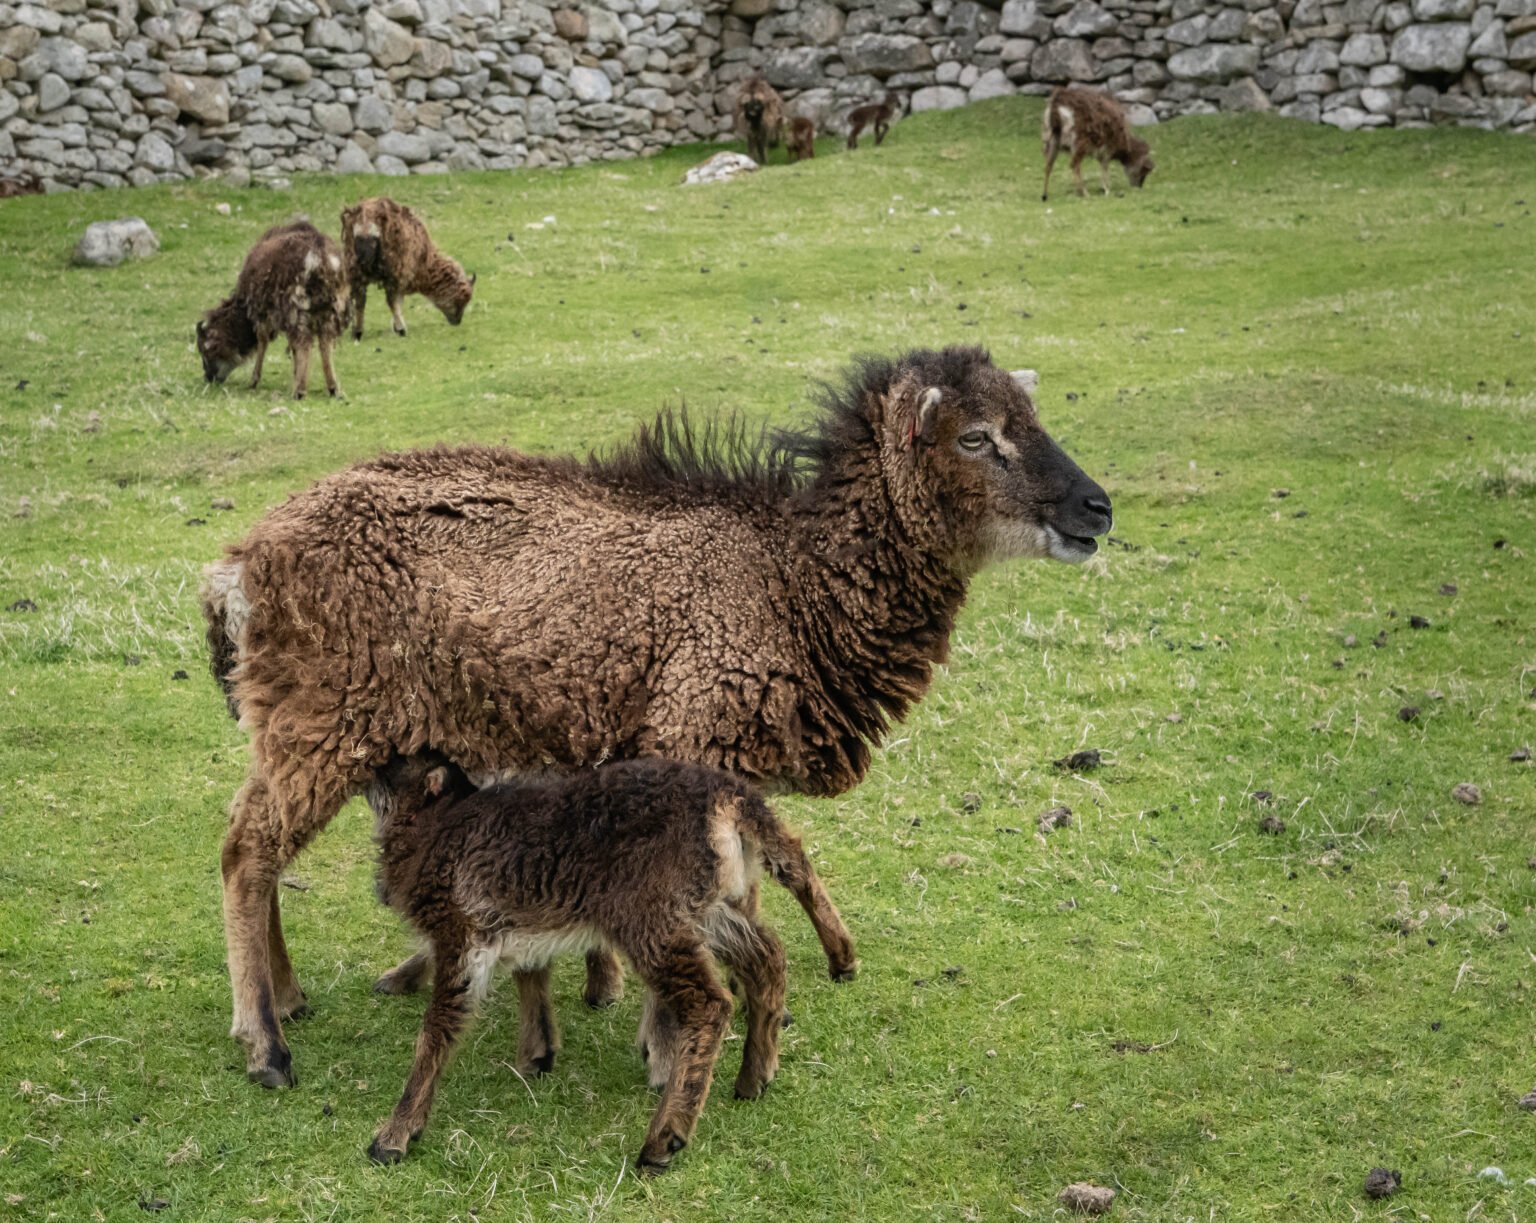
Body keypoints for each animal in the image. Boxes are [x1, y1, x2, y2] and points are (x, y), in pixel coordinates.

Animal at [195, 220, 349, 400]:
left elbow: (263, 341)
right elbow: (294, 348)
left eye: (206, 350)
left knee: (304, 343)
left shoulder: (261, 313)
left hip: (297, 305)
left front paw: (254, 381)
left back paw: (299, 391)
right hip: (331, 308)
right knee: (325, 343)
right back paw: (333, 388)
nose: (208, 378)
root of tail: (319, 257)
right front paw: (296, 374)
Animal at [202, 345, 1114, 1088]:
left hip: (304, 724)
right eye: (975, 438)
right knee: (246, 850)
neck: (790, 582)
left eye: (1030, 419)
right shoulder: (693, 735)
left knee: (260, 846)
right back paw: (265, 1043)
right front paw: (662, 1040)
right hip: (322, 717)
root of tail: (238, 567)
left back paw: (289, 995)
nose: (1097, 508)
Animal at [339, 197, 475, 340]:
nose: (457, 322)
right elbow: (398, 300)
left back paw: (357, 332)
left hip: (354, 267)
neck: (426, 263)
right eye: (462, 298)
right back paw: (401, 329)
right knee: (389, 299)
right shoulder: (403, 273)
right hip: (392, 266)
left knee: (359, 300)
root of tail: (365, 221)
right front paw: (397, 326)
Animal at [365, 754, 857, 1170]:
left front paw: (394, 1135)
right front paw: (536, 1056)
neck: (436, 827)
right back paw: (756, 1076)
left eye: (395, 766)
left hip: (650, 917)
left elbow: (436, 1031)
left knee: (710, 1003)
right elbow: (531, 976)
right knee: (767, 956)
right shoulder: (516, 923)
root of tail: (727, 799)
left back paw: (664, 1140)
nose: (369, 768)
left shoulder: (460, 933)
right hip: (702, 906)